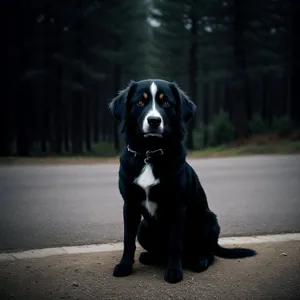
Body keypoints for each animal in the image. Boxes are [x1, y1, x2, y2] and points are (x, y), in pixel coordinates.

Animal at [109, 79, 256, 284]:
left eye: (166, 103)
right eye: (140, 102)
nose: (154, 121)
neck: (149, 153)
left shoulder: (177, 205)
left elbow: (175, 243)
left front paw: (173, 272)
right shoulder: (130, 204)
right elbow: (128, 239)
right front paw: (124, 266)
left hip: (209, 222)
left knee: (208, 252)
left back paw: (199, 260)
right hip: (143, 227)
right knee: (158, 251)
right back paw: (150, 257)